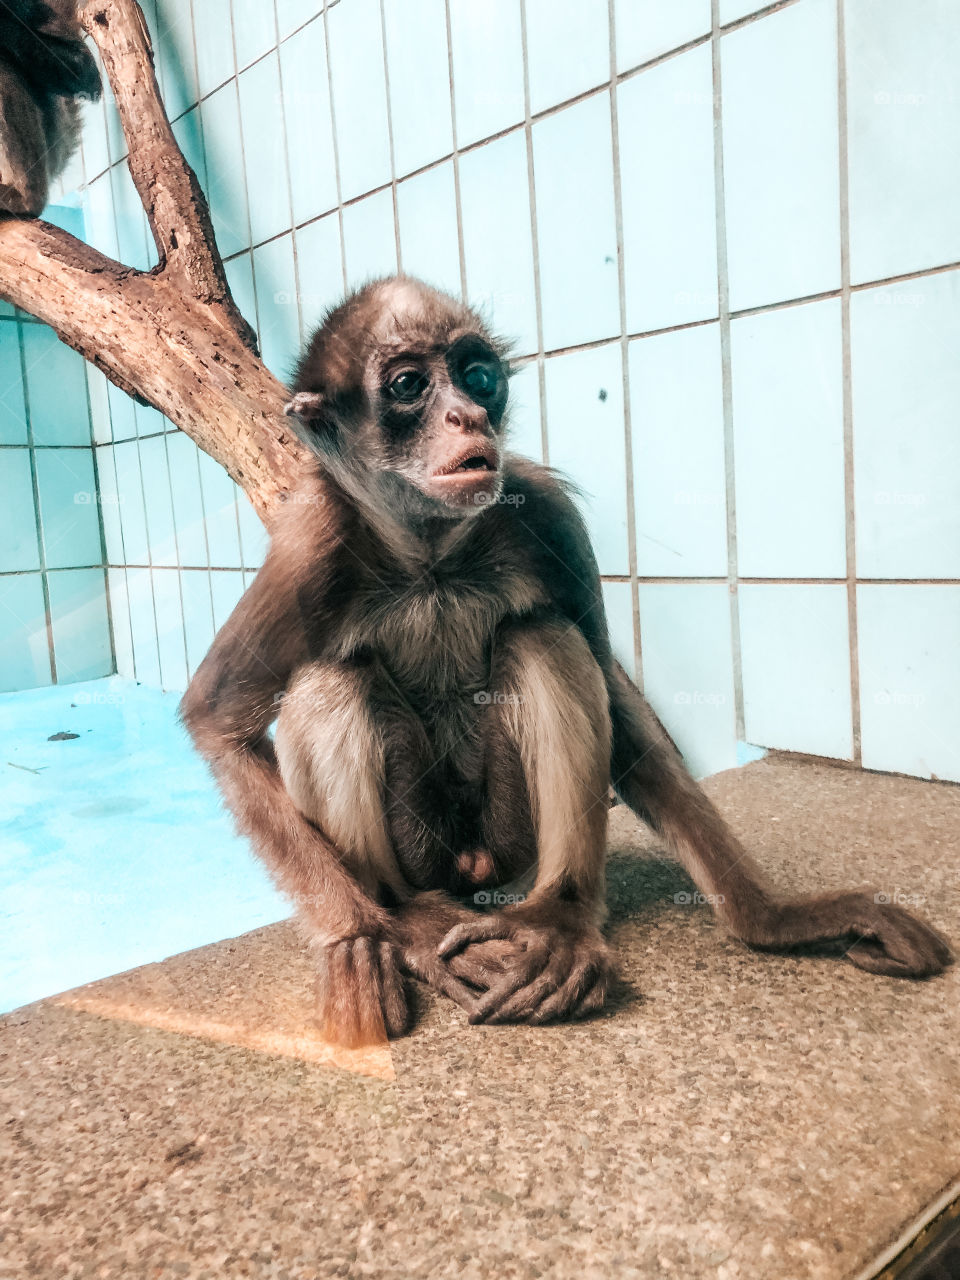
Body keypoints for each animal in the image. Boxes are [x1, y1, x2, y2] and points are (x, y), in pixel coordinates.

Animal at [180, 275, 953, 1049]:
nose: (468, 416)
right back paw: (410, 914)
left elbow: (616, 697)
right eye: (406, 387)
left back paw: (558, 919)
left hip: (509, 843)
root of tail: (470, 868)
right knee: (331, 678)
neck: (433, 560)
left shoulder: (546, 511)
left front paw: (776, 919)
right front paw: (376, 934)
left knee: (542, 635)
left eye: (477, 376)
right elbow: (215, 726)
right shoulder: (312, 546)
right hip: (421, 848)